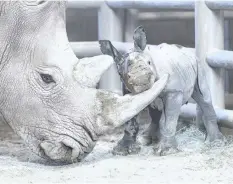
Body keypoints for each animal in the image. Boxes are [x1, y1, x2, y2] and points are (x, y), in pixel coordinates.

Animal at [99, 25, 225, 155]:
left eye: (149, 63)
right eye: (120, 73)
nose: (142, 79)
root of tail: (187, 49)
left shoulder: (174, 91)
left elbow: (169, 119)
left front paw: (167, 150)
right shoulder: (128, 91)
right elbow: (130, 119)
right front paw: (121, 150)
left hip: (197, 65)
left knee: (203, 98)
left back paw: (216, 143)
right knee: (156, 110)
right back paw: (146, 140)